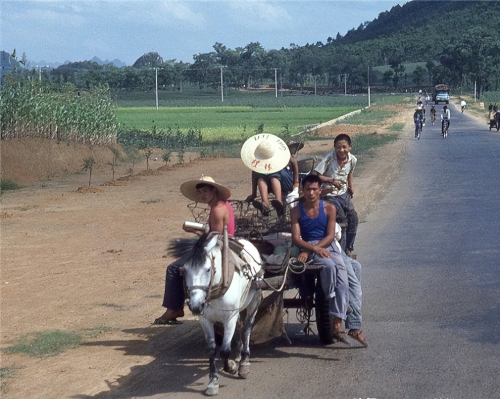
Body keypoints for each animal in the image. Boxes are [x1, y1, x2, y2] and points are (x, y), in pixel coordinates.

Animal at [169, 230, 264, 396]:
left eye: (208, 269)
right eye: (184, 270)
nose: (195, 305)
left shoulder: (229, 317)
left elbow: (225, 350)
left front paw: (231, 367)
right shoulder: (205, 320)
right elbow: (212, 350)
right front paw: (213, 382)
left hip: (254, 301)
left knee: (246, 330)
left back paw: (244, 362)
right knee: (240, 329)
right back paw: (238, 355)